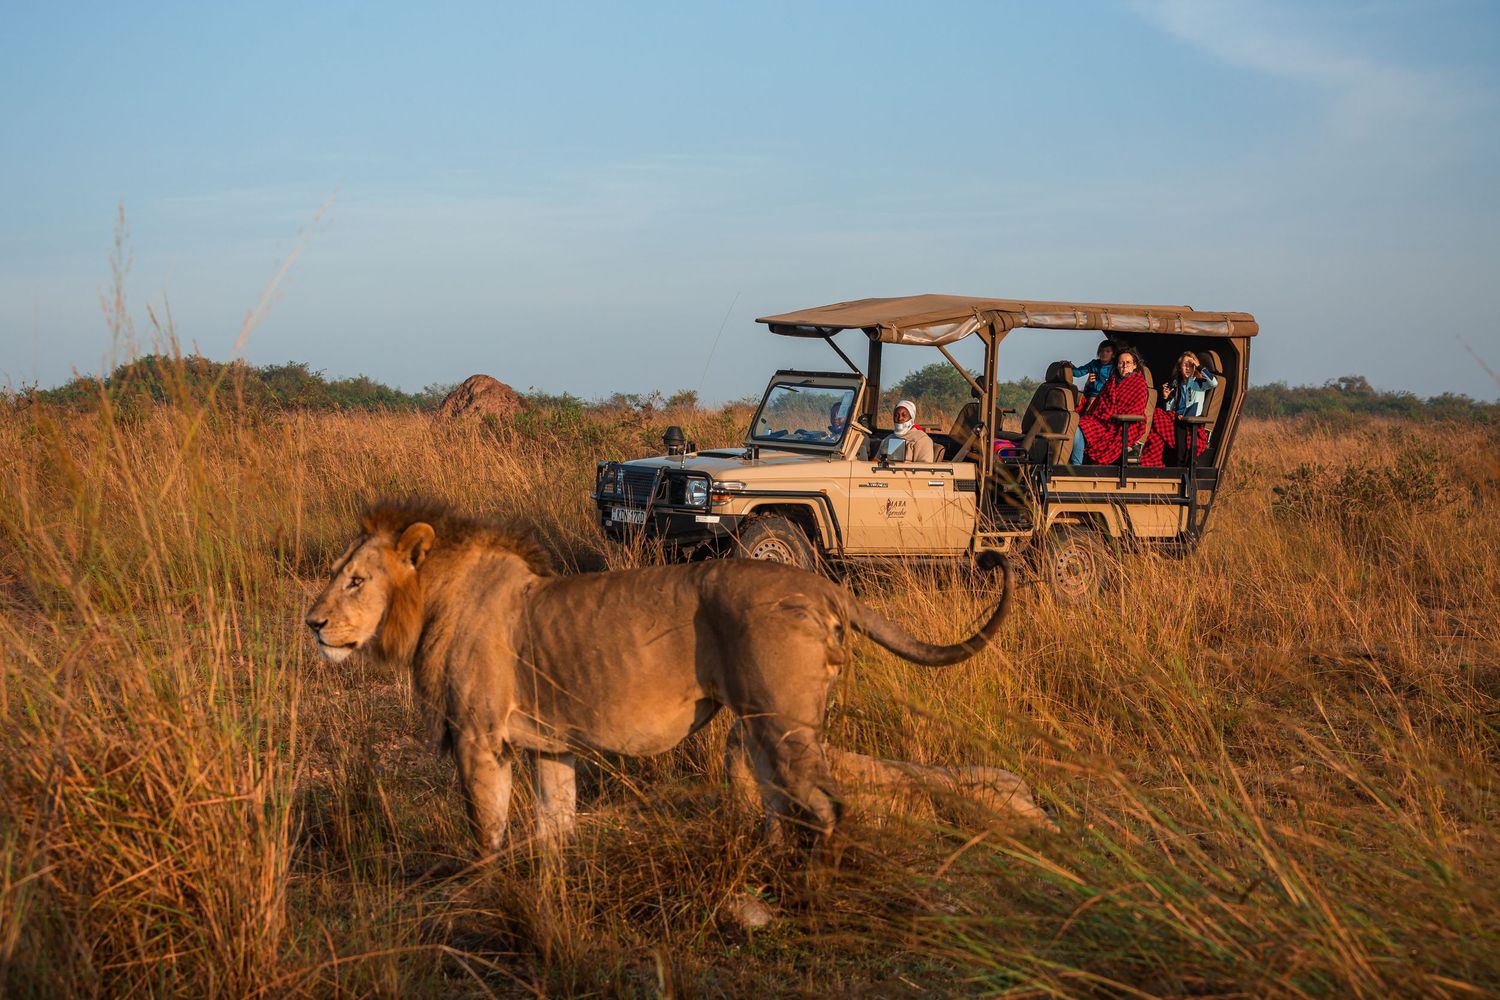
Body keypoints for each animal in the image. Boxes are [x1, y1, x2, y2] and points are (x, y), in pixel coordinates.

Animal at [304, 500, 1013, 852]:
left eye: (356, 581)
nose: (312, 623)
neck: (431, 604)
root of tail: (820, 586)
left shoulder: (480, 740)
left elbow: (488, 835)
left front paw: (487, 897)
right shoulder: (550, 746)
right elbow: (553, 830)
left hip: (785, 724)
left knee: (828, 808)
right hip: (758, 729)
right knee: (780, 806)